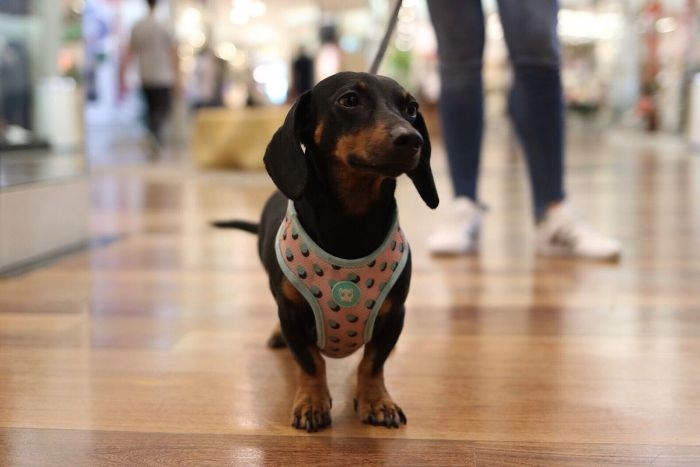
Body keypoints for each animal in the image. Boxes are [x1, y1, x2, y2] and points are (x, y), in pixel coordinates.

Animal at [216, 70, 440, 432]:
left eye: (411, 108)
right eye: (349, 100)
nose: (412, 139)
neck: (349, 224)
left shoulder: (395, 314)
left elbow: (372, 363)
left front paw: (377, 401)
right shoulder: (292, 314)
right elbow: (310, 363)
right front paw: (312, 402)